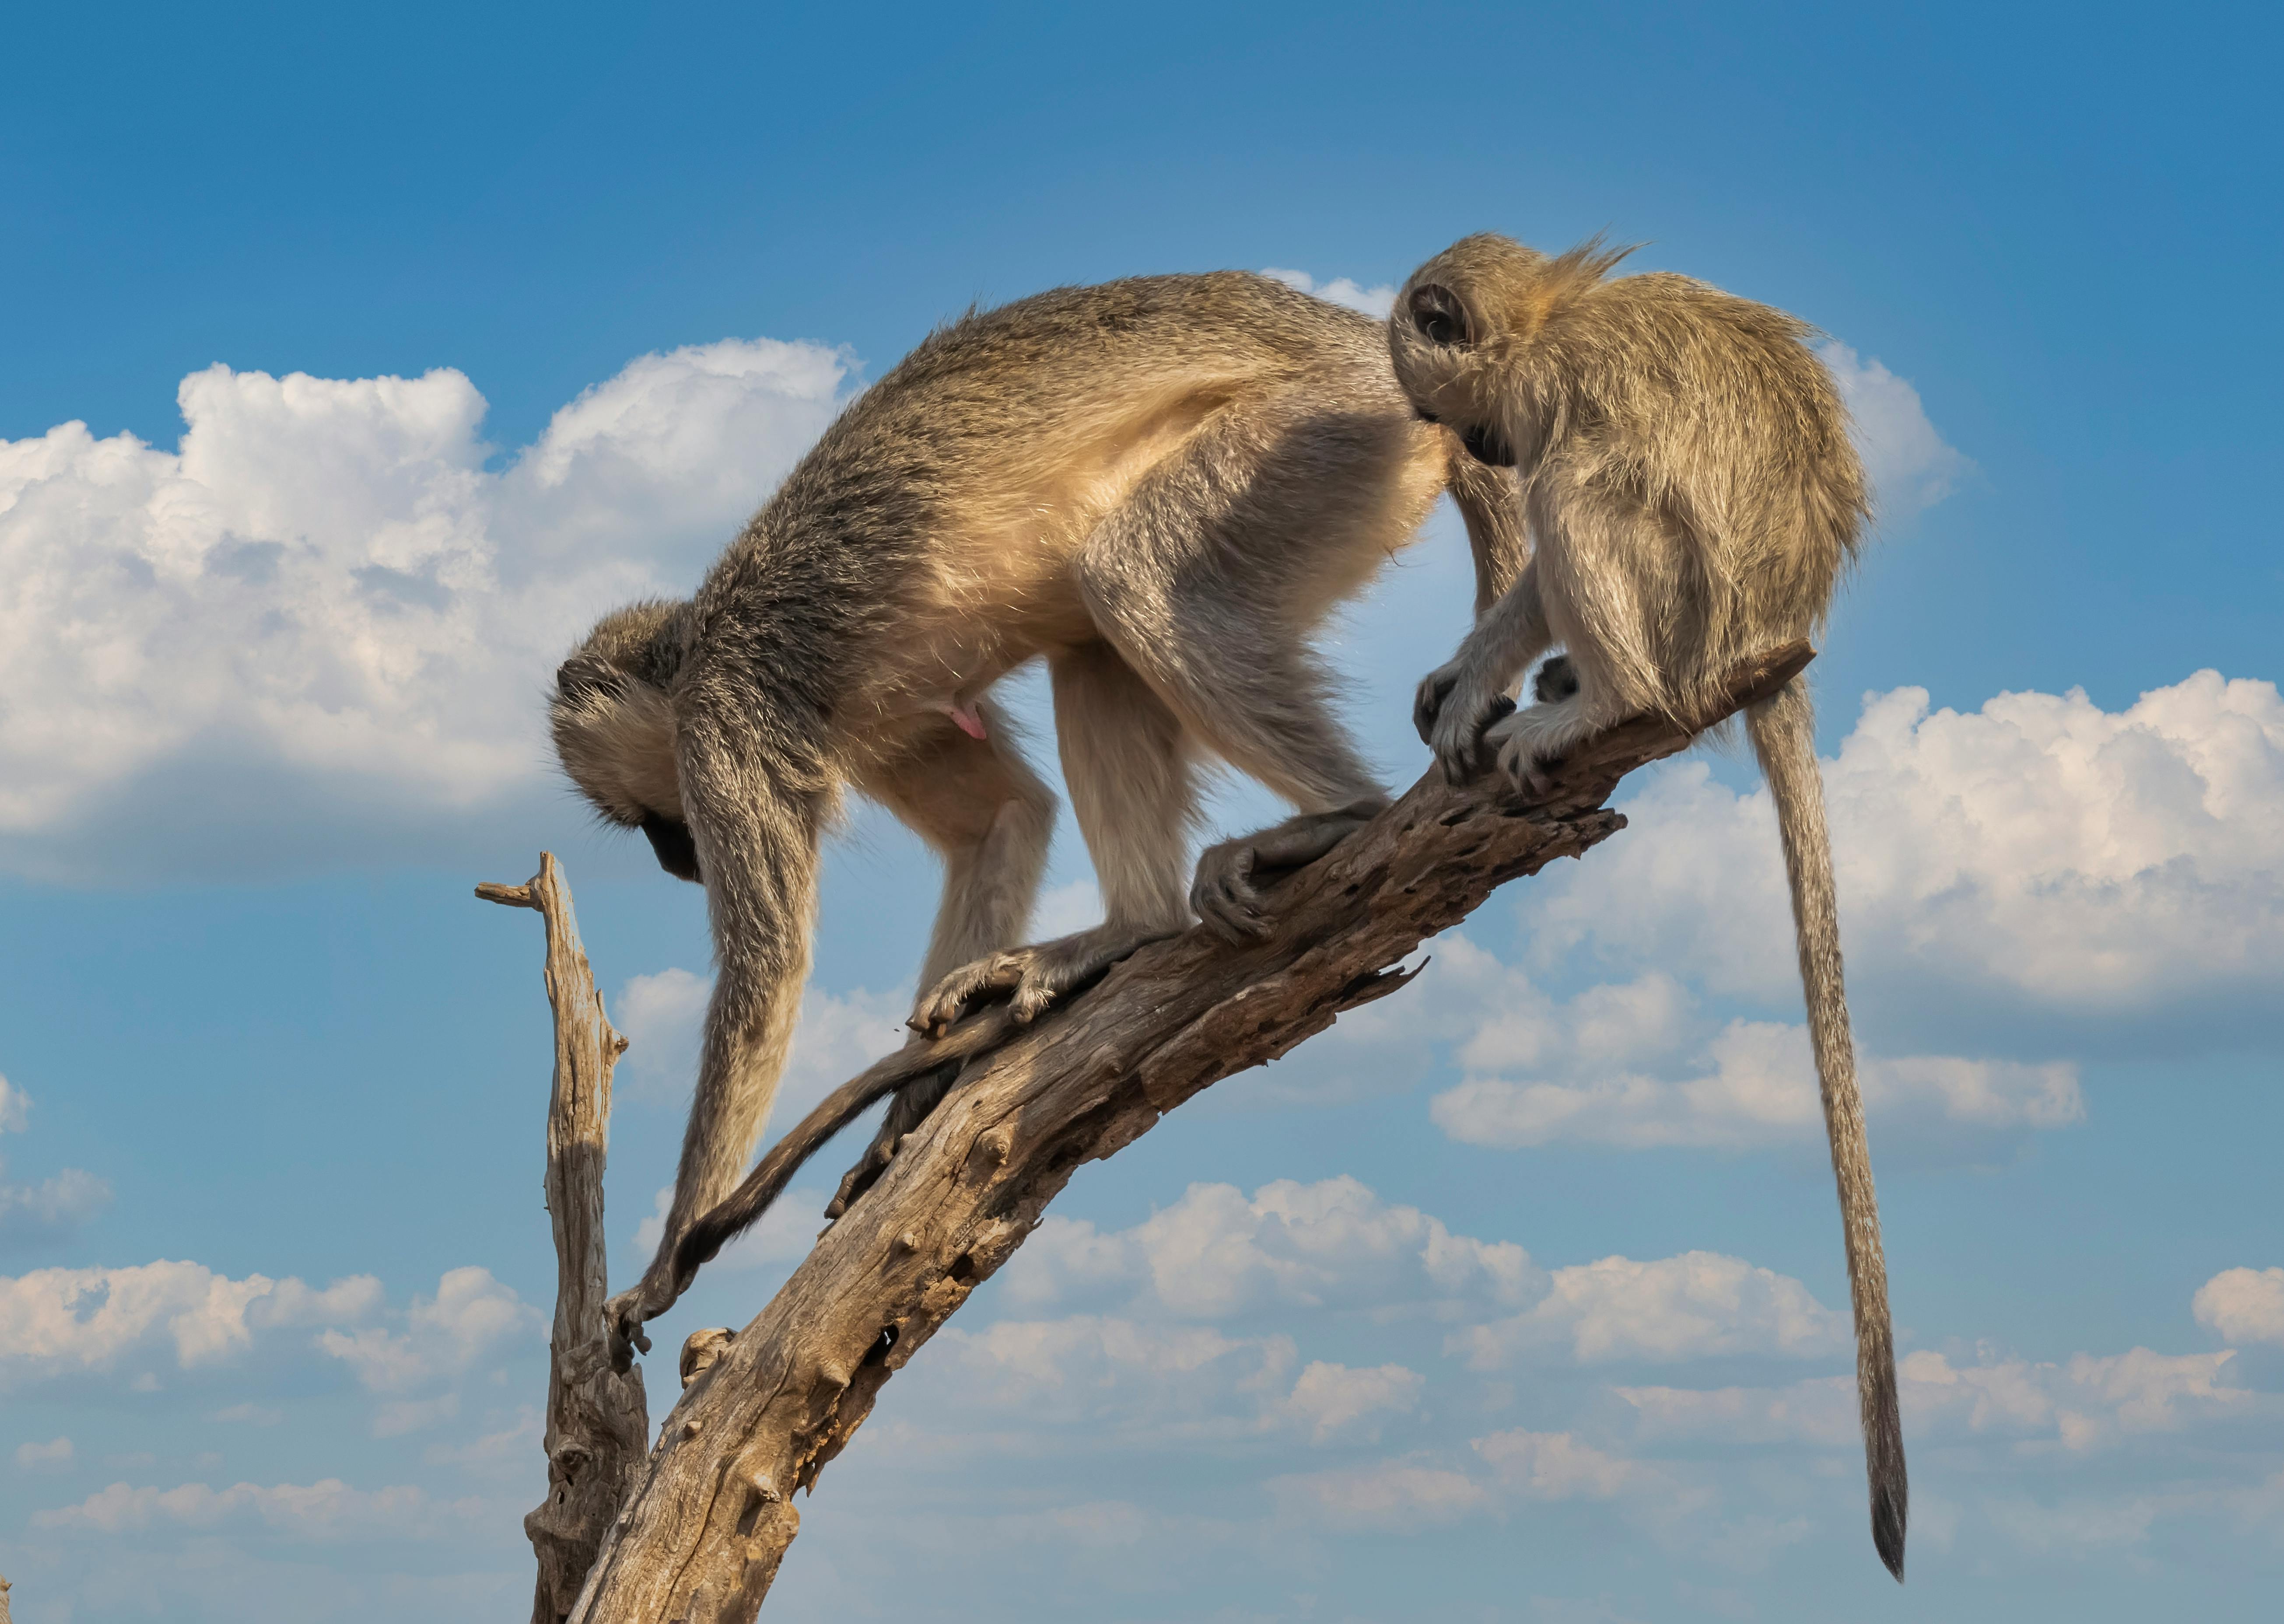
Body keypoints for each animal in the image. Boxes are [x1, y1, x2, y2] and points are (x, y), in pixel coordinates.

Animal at [551, 271, 1531, 1364]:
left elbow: (767, 967)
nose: (672, 860)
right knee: (1095, 639)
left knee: (1130, 577)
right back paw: (1131, 928)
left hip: (1320, 443)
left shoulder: (722, 727)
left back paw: (1337, 818)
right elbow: (1002, 820)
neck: (690, 650)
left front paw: (668, 1259)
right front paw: (901, 1122)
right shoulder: (882, 730)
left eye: (650, 818)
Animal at [1388, 234, 1906, 1580]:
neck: (1548, 316)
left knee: (1585, 493)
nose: (1470, 448)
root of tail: (1773, 637)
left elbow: (1557, 504)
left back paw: (1598, 697)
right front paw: (1467, 671)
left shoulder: (1546, 397)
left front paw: (1487, 673)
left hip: (1679, 620)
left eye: (1439, 410)